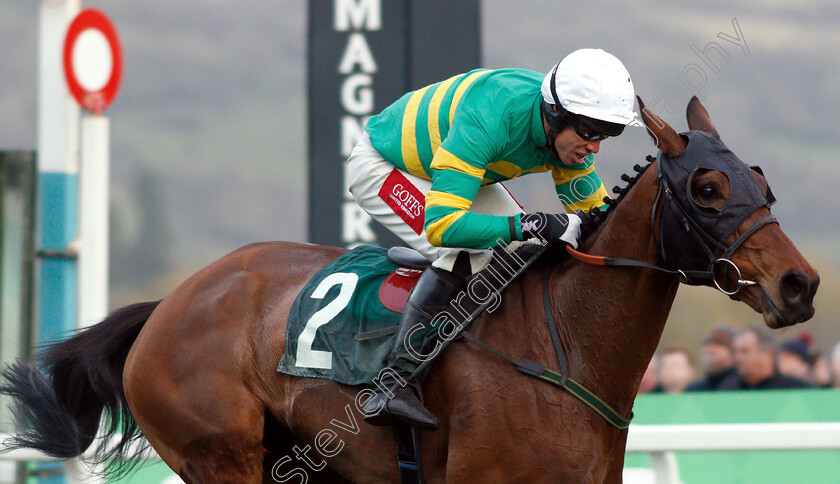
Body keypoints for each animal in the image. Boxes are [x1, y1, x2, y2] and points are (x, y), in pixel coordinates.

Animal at [0, 96, 812, 482]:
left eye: (760, 179)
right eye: (707, 189)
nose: (801, 285)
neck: (565, 348)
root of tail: (167, 306)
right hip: (219, 456)